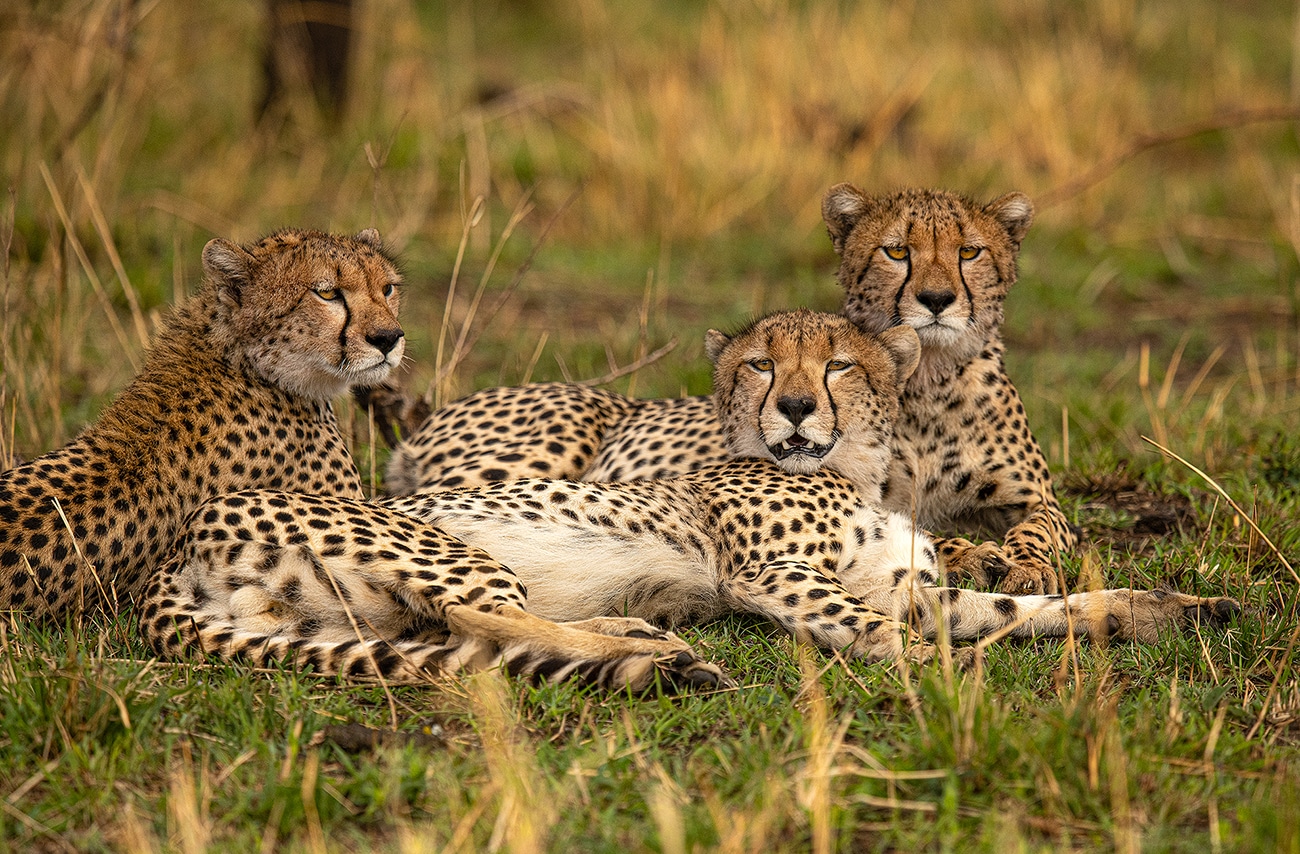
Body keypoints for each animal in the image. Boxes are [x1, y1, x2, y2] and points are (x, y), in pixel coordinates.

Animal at [152, 309, 1237, 675]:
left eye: (838, 367)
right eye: (764, 368)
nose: (796, 408)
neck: (855, 471)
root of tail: (180, 550)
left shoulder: (914, 581)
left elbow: (1023, 605)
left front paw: (1163, 606)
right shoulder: (769, 571)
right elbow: (883, 628)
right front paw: (939, 677)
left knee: (466, 630)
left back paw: (635, 638)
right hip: (453, 546)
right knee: (480, 620)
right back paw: (653, 652)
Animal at [379, 187, 1071, 592]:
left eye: (969, 251)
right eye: (896, 251)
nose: (935, 299)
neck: (925, 385)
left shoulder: (1036, 499)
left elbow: (1043, 531)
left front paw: (1025, 565)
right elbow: (931, 534)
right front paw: (975, 556)